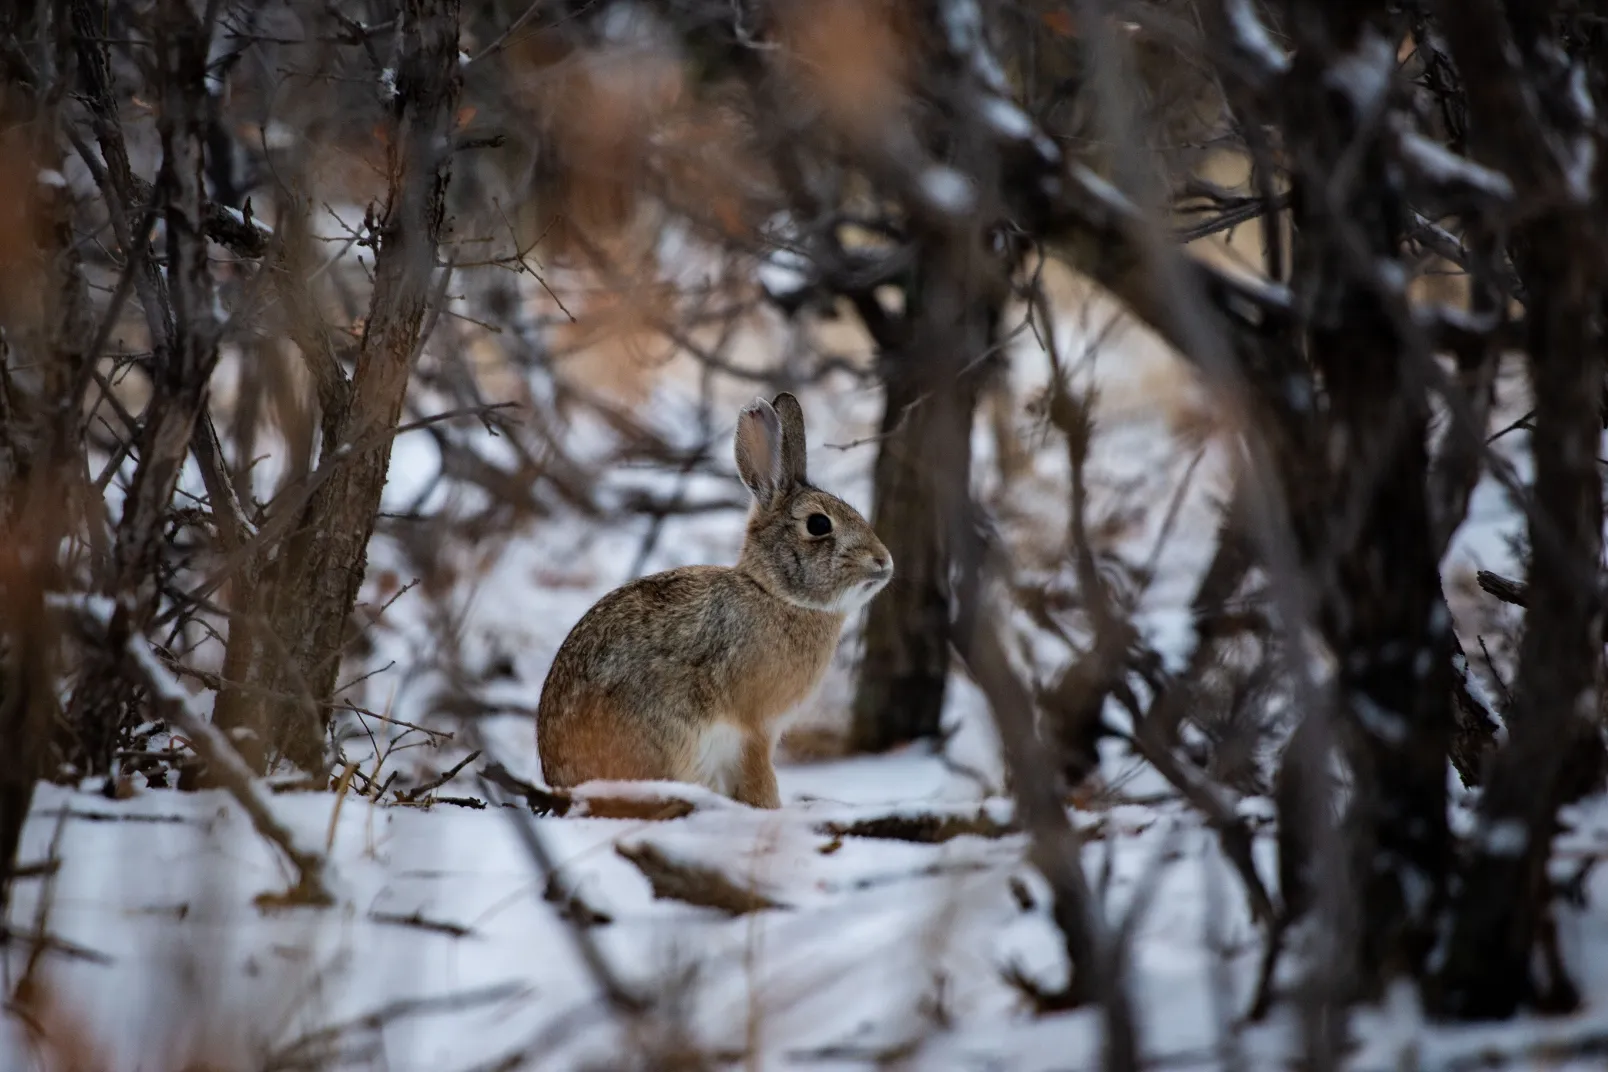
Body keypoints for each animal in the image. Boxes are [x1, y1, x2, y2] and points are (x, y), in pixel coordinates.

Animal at [537, 392, 894, 803]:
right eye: (819, 524)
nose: (883, 561)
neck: (776, 595)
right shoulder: (754, 728)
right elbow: (759, 777)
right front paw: (769, 808)